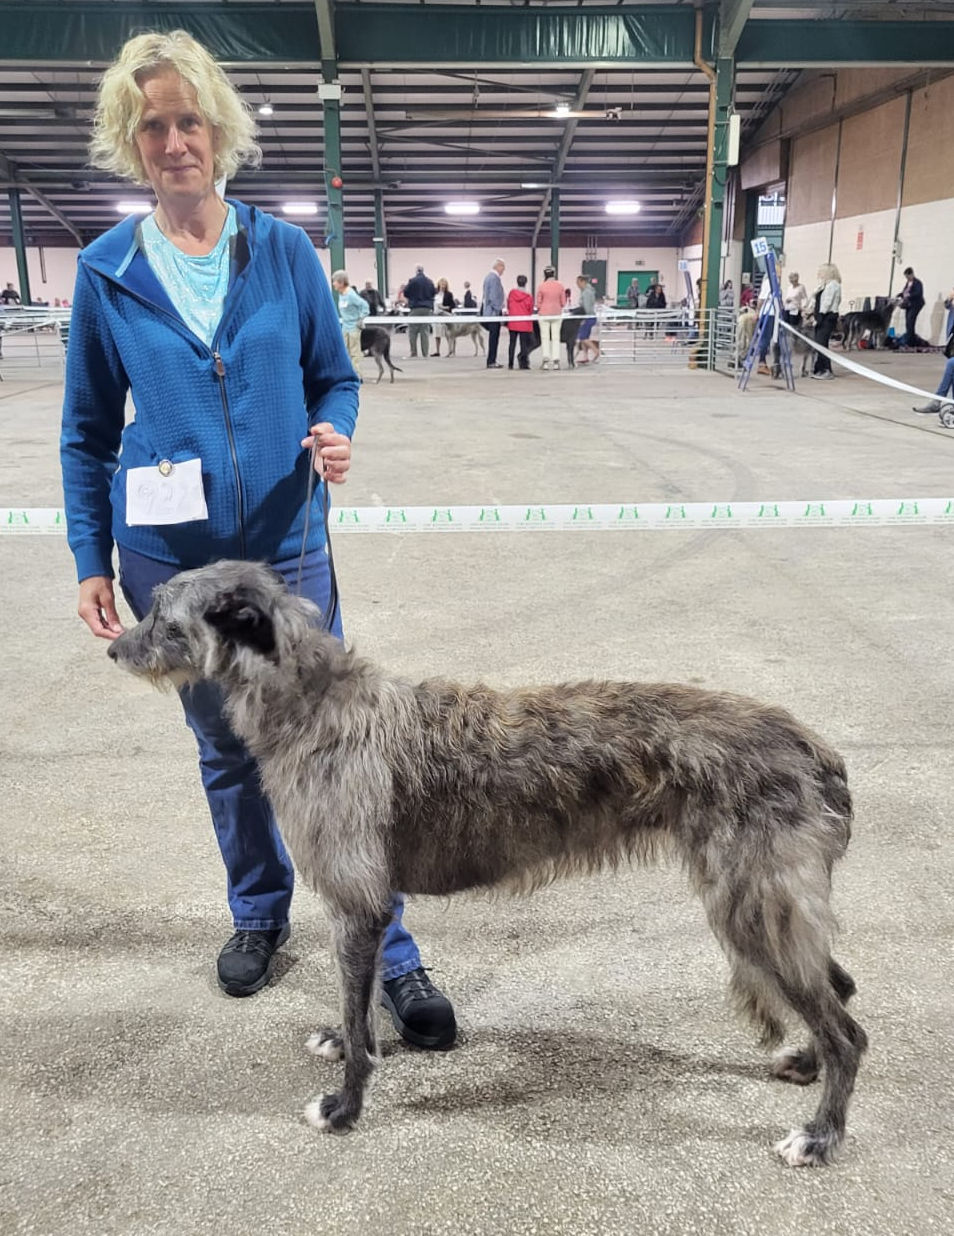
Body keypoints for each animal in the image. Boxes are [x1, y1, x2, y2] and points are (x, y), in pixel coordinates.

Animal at [108, 563, 869, 1166]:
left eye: (162, 616)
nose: (112, 648)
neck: (316, 703)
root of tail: (816, 750)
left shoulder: (358, 903)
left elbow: (359, 1018)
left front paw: (345, 1107)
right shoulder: (366, 907)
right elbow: (359, 1007)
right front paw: (348, 1042)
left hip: (751, 905)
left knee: (849, 1030)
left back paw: (819, 1136)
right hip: (772, 905)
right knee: (837, 987)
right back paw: (806, 1062)